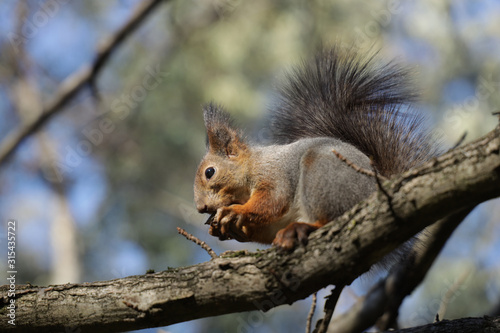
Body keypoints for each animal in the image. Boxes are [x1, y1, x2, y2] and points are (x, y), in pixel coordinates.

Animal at [193, 45, 436, 250]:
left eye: (210, 172)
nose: (201, 208)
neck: (254, 164)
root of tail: (381, 187)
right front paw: (228, 228)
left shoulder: (275, 174)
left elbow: (273, 201)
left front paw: (236, 211)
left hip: (324, 174)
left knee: (330, 218)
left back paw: (307, 227)